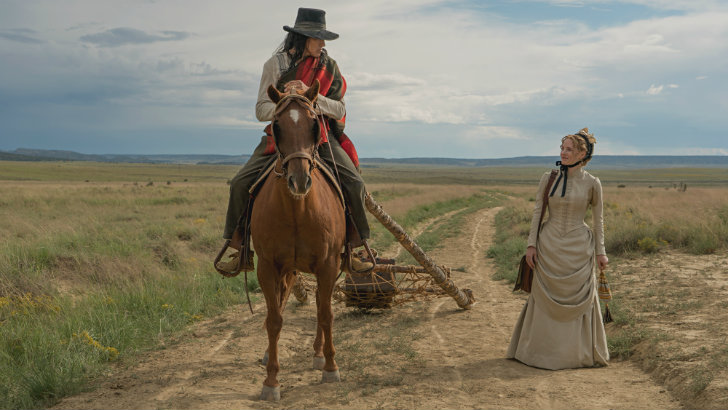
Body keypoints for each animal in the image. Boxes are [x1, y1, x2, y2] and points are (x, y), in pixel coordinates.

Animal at [250, 80, 346, 400]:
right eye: (276, 126)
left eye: (314, 124)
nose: (299, 180)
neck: (297, 209)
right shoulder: (267, 267)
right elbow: (274, 319)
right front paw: (271, 381)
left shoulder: (329, 264)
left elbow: (326, 313)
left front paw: (330, 366)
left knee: (319, 304)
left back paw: (318, 354)